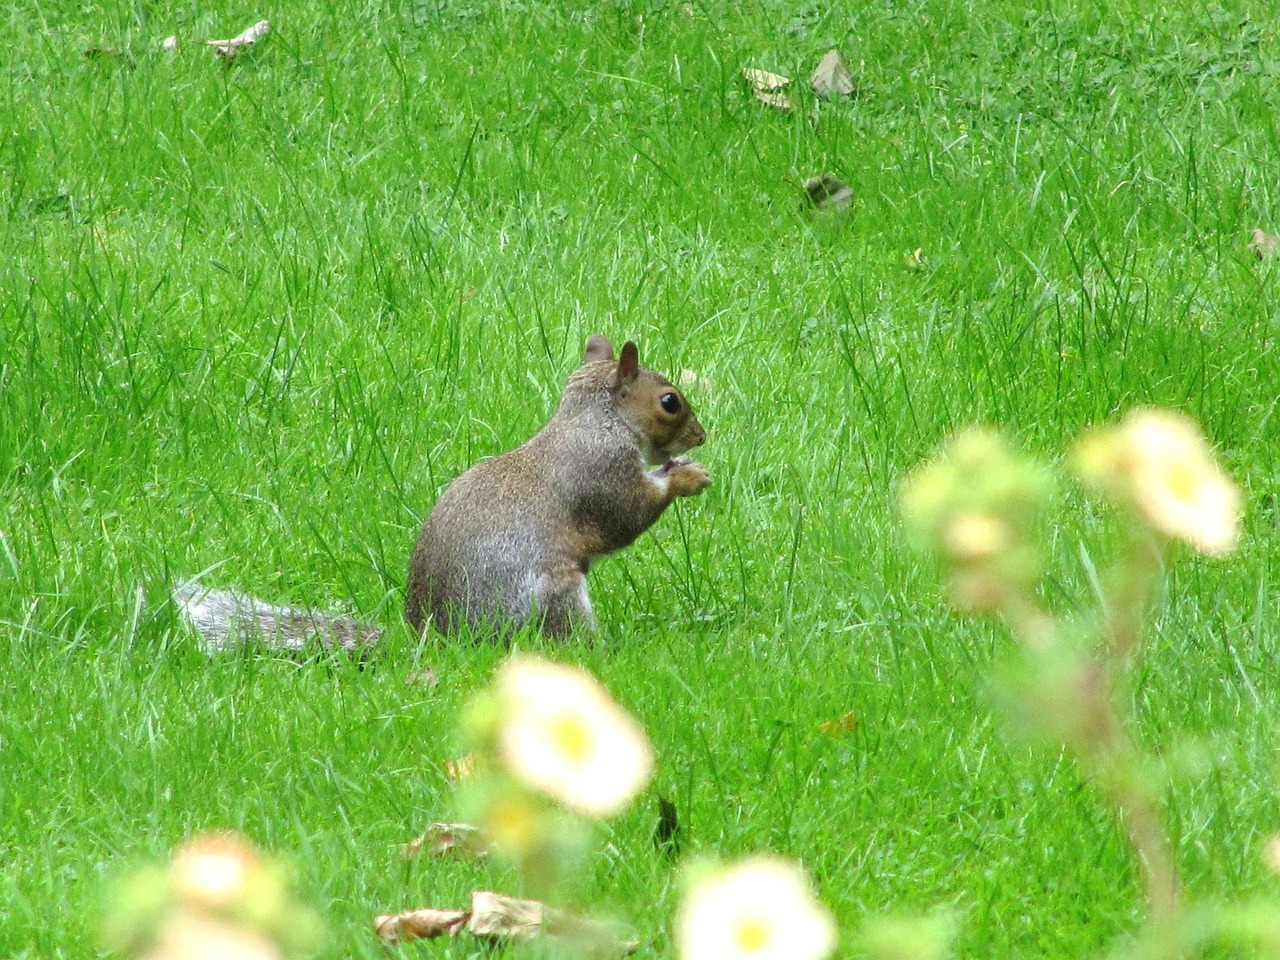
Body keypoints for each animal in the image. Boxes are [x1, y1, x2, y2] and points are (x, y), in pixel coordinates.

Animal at [407, 335, 711, 642]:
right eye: (670, 401)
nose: (700, 436)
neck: (602, 423)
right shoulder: (602, 472)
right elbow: (628, 515)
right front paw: (687, 477)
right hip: (555, 595)